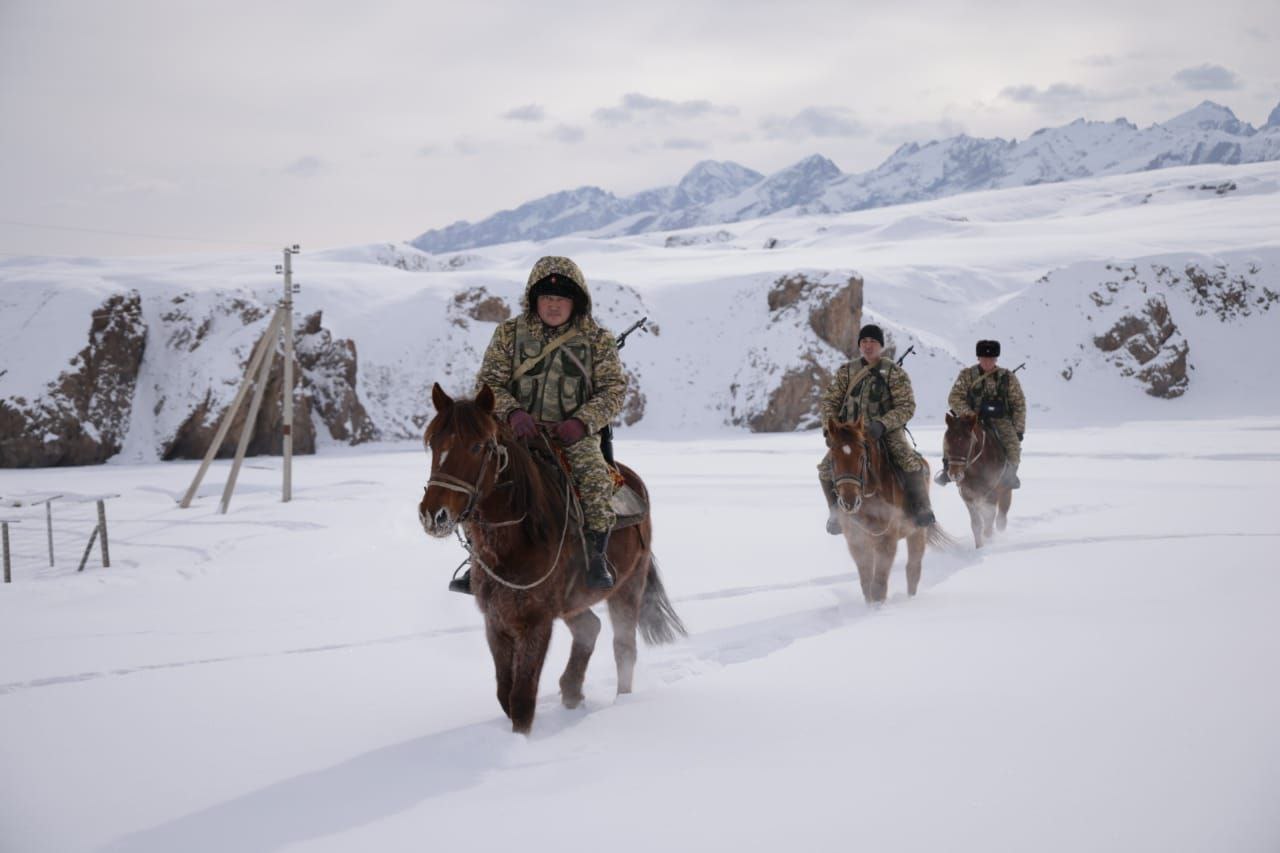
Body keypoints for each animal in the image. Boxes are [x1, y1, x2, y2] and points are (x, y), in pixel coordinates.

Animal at [419, 379, 686, 732]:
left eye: (477, 447)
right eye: (433, 443)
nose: (434, 515)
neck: (516, 539)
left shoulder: (536, 621)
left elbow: (521, 698)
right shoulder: (496, 620)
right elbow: (505, 693)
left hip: (629, 585)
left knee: (624, 648)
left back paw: (621, 704)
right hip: (574, 601)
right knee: (589, 628)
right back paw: (572, 691)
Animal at [819, 414, 952, 601]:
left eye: (862, 457)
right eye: (833, 459)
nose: (849, 502)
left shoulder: (887, 539)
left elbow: (879, 585)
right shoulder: (857, 541)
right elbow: (866, 583)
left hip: (917, 532)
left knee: (913, 569)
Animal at [936, 409, 1013, 545]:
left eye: (968, 443)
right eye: (947, 441)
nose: (955, 474)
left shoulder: (992, 494)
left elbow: (989, 521)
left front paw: (988, 542)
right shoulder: (968, 496)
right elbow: (976, 525)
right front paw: (980, 547)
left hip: (1004, 490)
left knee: (1001, 517)